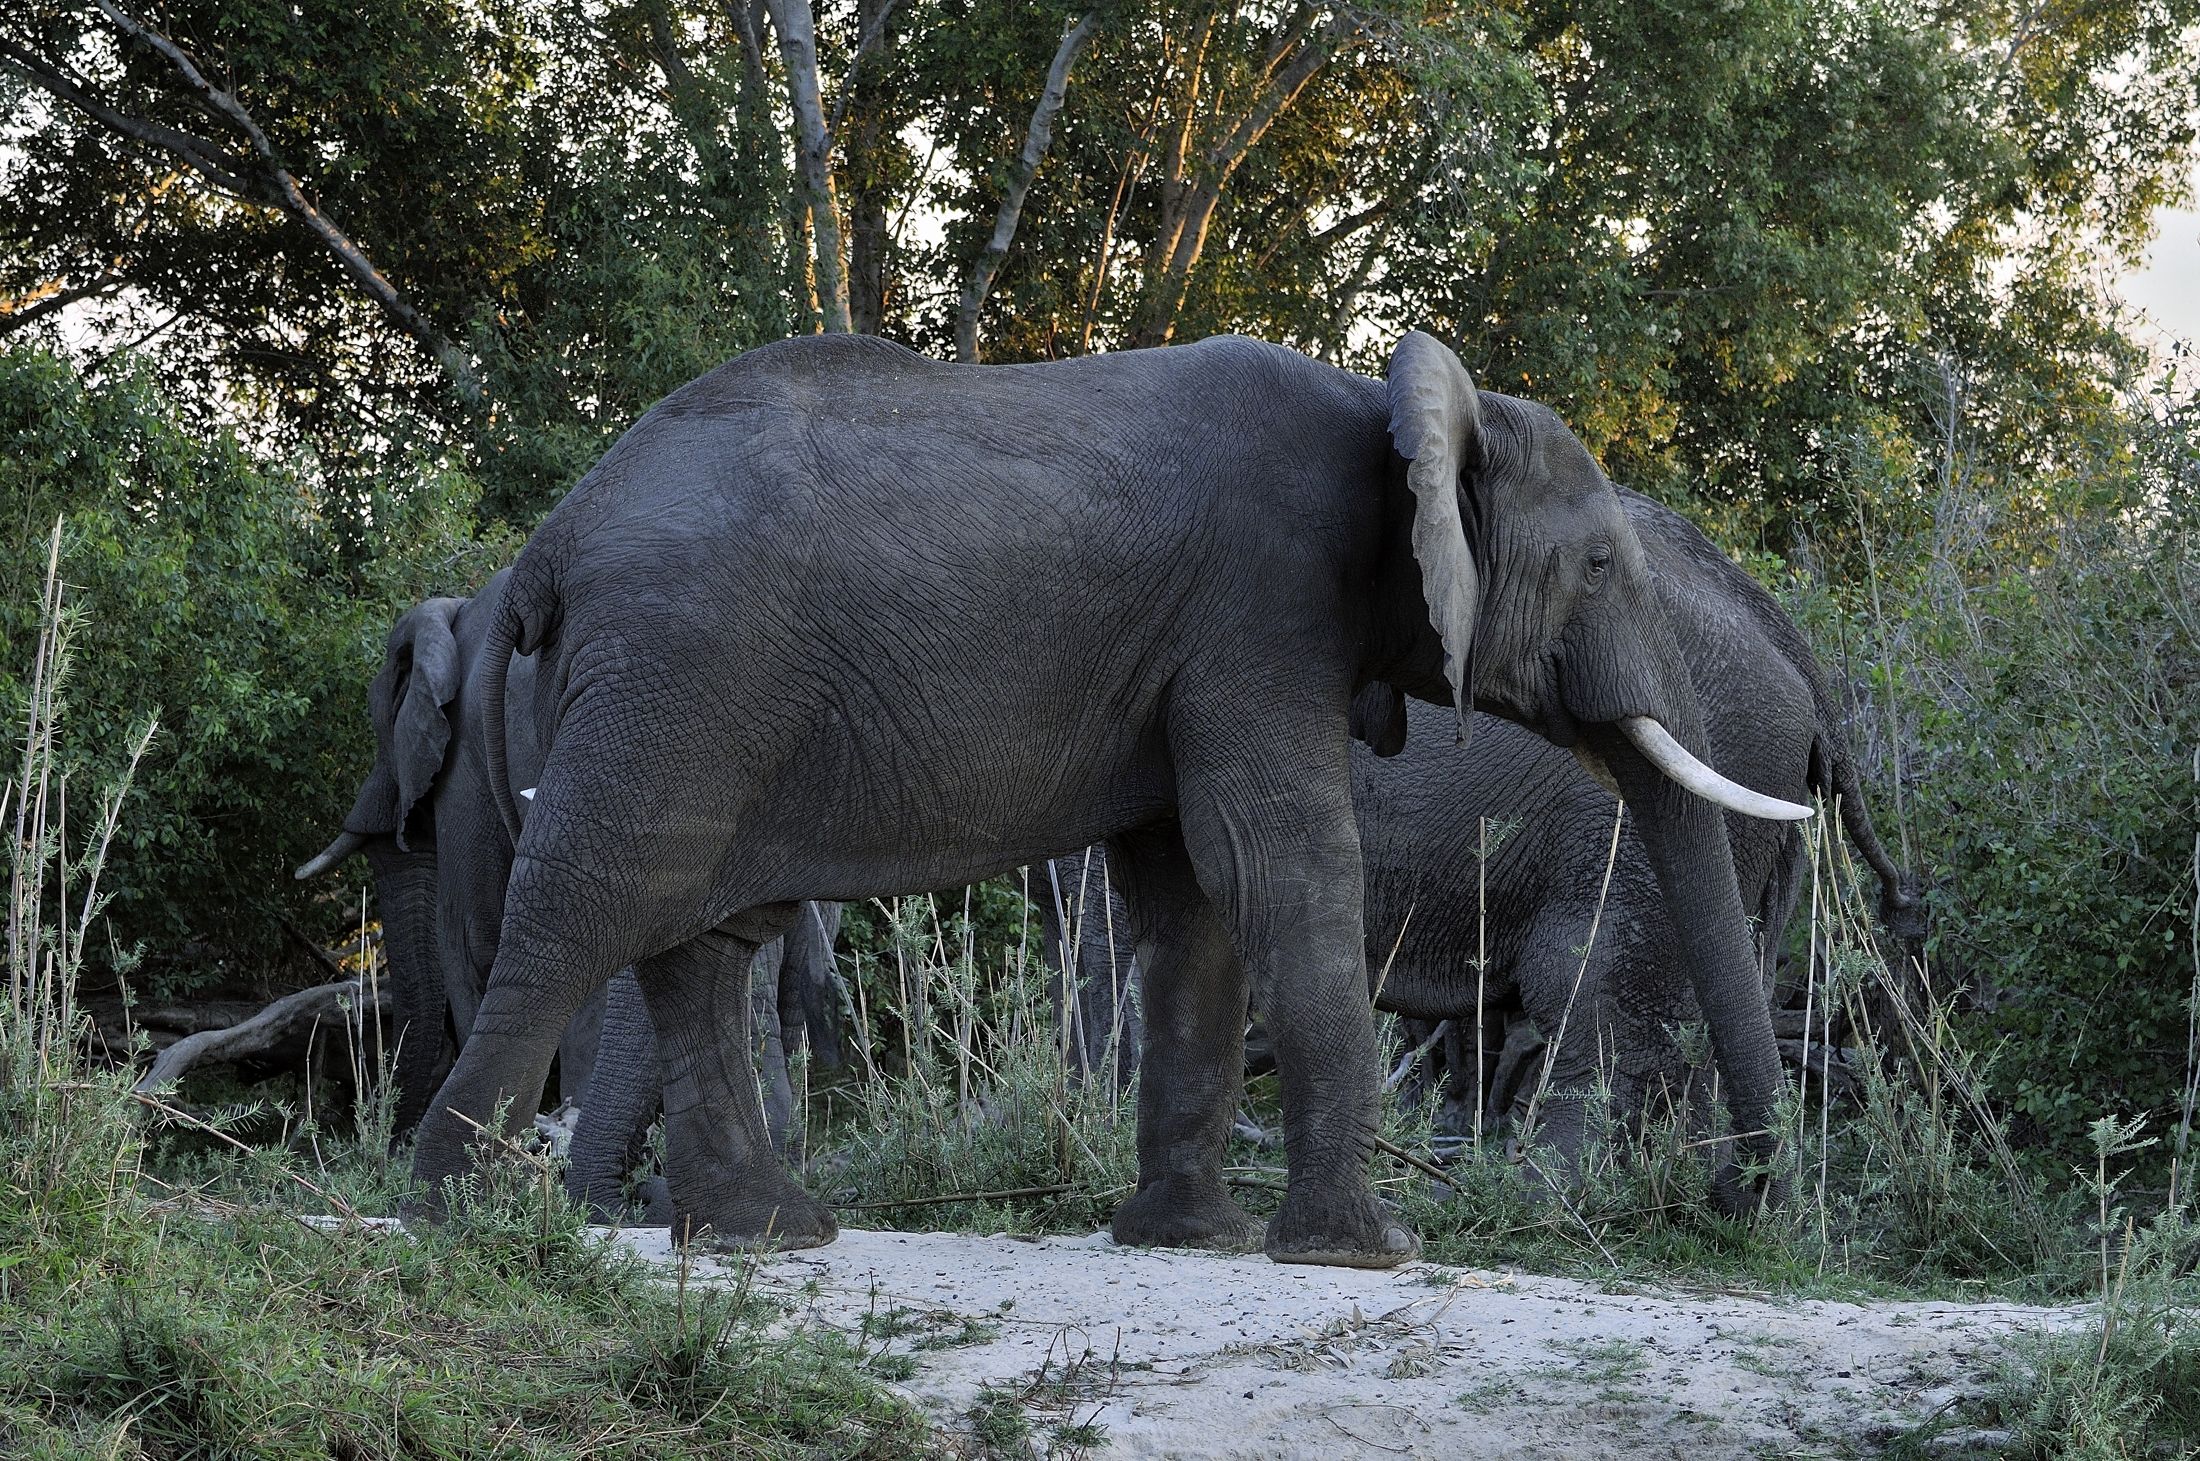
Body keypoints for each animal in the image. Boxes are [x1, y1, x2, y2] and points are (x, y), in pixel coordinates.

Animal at [407, 329, 1809, 1269]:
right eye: (1596, 566)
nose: (1744, 1203)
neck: (1395, 403)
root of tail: (557, 531)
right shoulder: (1261, 605)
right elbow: (1276, 862)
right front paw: (1367, 1251)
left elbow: (1190, 895)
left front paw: (1193, 1239)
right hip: (679, 671)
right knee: (598, 905)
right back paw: (456, 1214)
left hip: (701, 692)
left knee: (704, 939)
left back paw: (769, 1237)